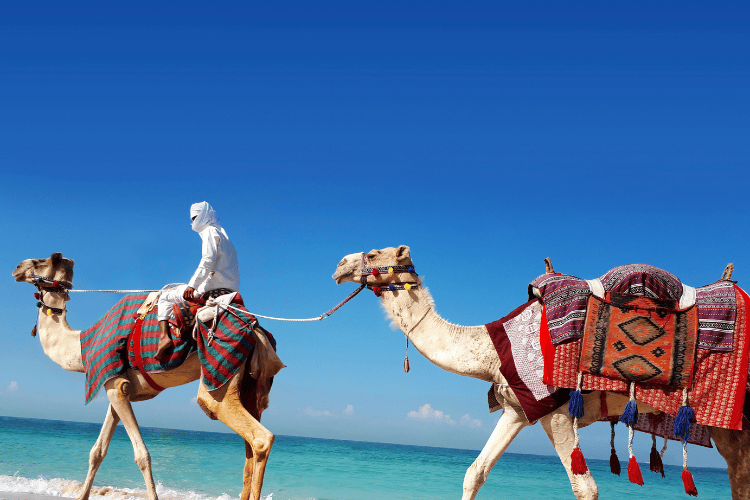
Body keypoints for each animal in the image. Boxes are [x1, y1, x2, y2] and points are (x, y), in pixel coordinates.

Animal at [12, 253, 283, 500]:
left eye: (38, 262)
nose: (16, 268)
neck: (81, 346)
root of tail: (256, 331)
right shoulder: (117, 386)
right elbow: (97, 451)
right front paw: (82, 496)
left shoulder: (115, 385)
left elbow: (142, 455)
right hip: (250, 387)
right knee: (249, 447)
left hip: (219, 371)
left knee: (256, 435)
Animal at [333, 246, 750, 500]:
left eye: (373, 253)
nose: (339, 265)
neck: (490, 348)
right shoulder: (518, 408)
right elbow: (475, 472)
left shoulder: (558, 411)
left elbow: (585, 488)